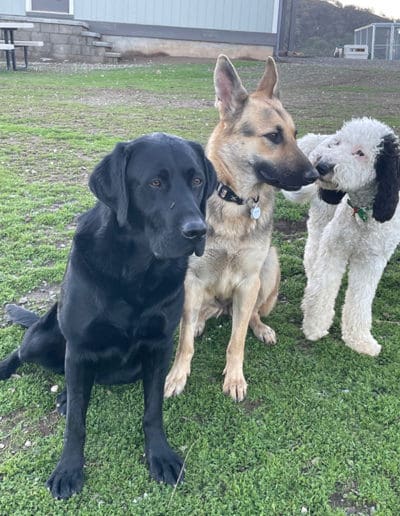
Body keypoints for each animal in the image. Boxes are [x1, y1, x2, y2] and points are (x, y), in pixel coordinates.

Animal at [164, 57, 318, 404]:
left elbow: (237, 341)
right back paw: (199, 321)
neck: (235, 199)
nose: (316, 174)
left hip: (268, 267)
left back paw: (260, 327)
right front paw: (178, 375)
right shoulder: (191, 279)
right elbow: (184, 342)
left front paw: (234, 377)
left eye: (295, 134)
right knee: (200, 314)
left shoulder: (248, 282)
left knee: (251, 315)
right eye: (273, 136)